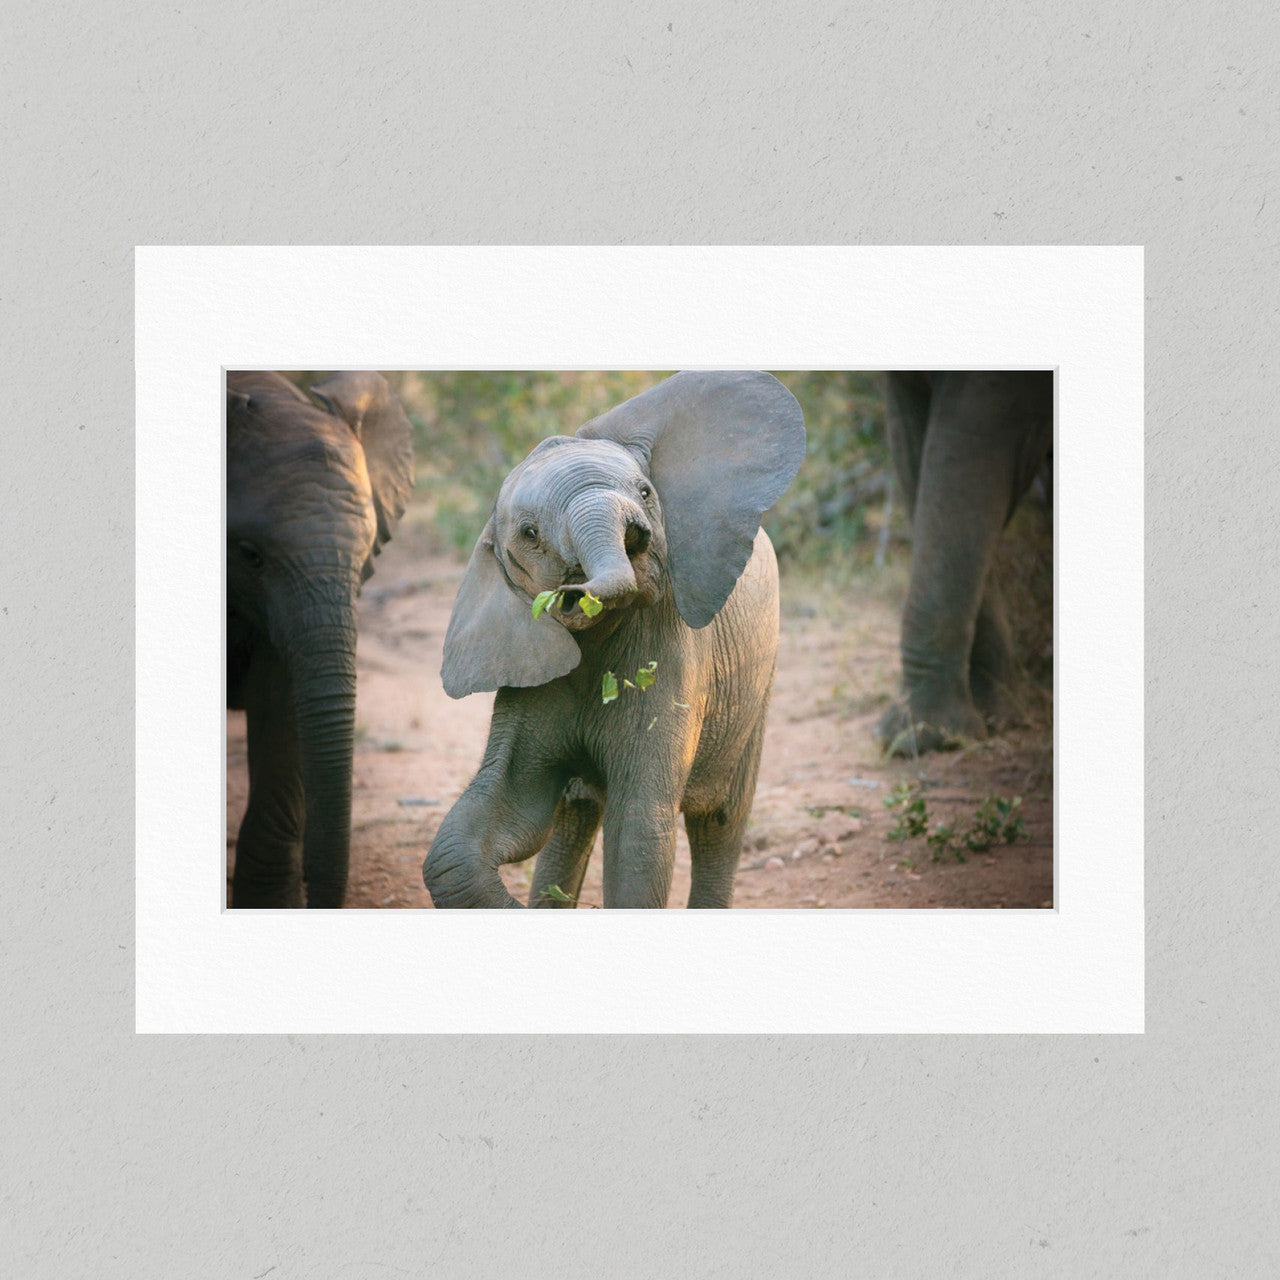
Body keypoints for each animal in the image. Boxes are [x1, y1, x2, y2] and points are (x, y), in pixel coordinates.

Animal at [423, 370, 805, 909]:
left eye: (646, 492)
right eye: (530, 533)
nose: (571, 594)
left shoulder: (673, 654)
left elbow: (639, 833)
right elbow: (488, 827)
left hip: (759, 676)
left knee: (719, 820)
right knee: (573, 815)